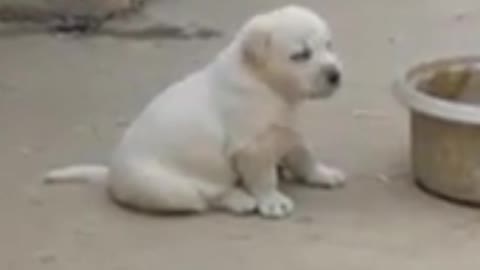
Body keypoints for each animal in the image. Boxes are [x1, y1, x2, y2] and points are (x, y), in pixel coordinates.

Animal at [45, 5, 344, 218]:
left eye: (329, 45)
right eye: (300, 55)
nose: (335, 75)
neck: (268, 86)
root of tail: (110, 176)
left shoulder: (287, 131)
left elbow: (304, 157)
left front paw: (323, 174)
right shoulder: (251, 147)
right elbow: (263, 177)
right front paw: (272, 201)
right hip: (169, 189)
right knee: (207, 197)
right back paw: (240, 199)